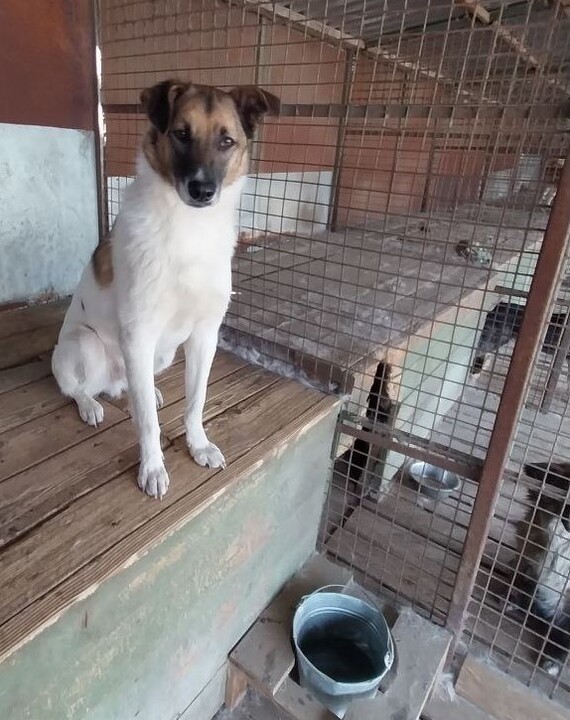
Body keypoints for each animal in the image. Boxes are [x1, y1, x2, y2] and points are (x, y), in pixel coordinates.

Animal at [52, 79, 280, 499]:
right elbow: (147, 424)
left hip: (162, 355)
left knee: (132, 387)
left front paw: (198, 445)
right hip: (87, 345)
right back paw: (90, 404)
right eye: (181, 134)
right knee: (75, 387)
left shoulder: (205, 335)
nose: (202, 190)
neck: (190, 228)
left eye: (226, 141)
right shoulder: (139, 334)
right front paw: (153, 468)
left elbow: (195, 402)